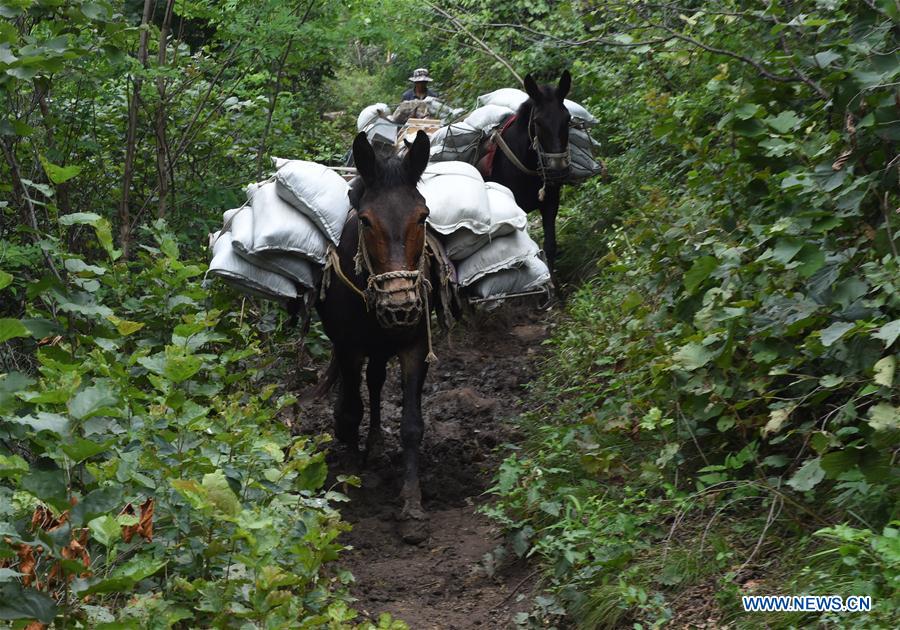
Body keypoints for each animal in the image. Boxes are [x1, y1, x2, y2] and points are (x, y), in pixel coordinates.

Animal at [314, 130, 438, 544]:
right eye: (366, 222)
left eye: (423, 216)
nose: (401, 303)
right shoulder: (349, 347)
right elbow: (352, 410)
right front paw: (350, 487)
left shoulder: (414, 346)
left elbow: (412, 425)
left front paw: (412, 507)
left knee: (377, 379)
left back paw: (377, 447)